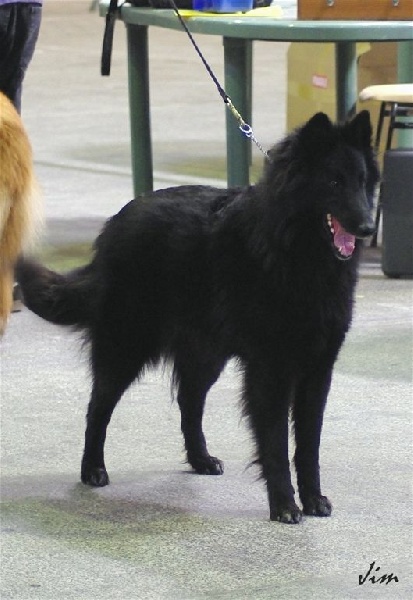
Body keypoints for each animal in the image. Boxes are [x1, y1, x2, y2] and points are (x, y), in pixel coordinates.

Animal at [16, 111, 379, 523]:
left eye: (363, 181)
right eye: (334, 182)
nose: (368, 227)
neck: (294, 252)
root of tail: (115, 225)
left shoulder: (317, 370)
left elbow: (308, 446)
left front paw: (313, 498)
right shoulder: (270, 371)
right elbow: (274, 443)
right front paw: (285, 504)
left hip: (206, 353)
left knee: (189, 402)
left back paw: (200, 459)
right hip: (126, 347)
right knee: (99, 407)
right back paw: (93, 469)